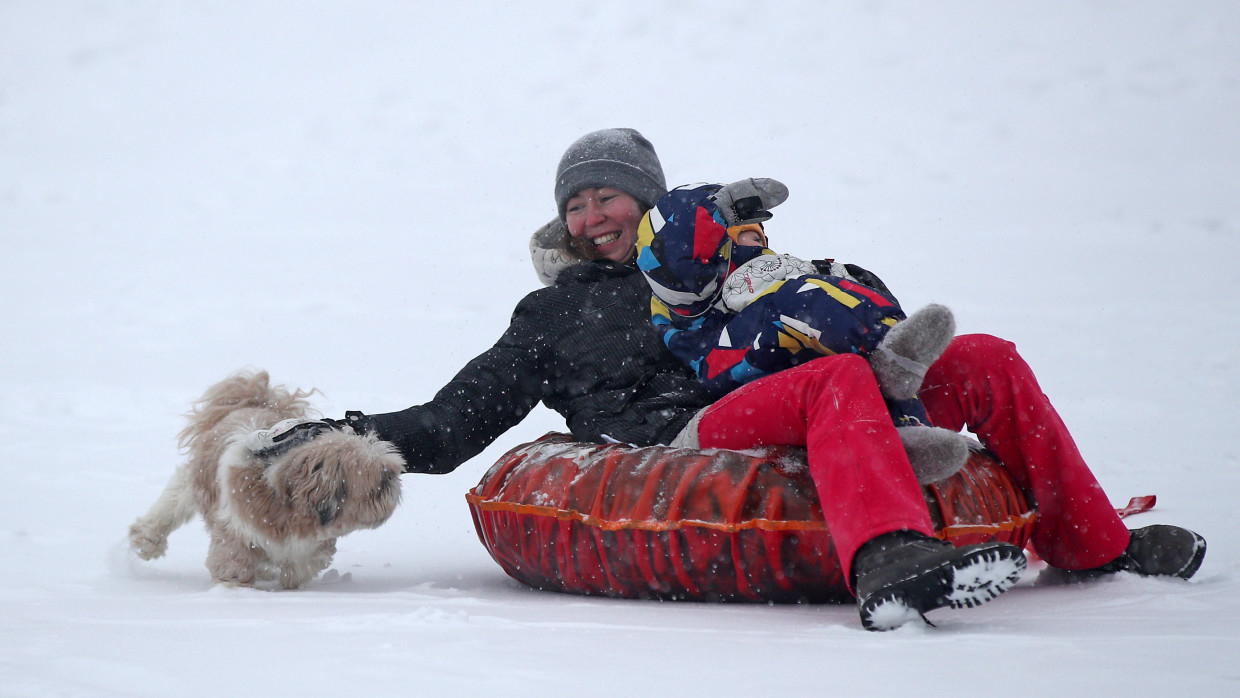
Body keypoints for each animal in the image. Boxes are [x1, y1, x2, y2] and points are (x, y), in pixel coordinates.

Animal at [128, 371, 404, 590]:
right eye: (382, 479)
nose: (396, 482)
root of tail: (254, 400)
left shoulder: (314, 543)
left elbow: (305, 562)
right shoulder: (235, 529)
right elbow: (233, 564)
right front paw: (236, 589)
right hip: (192, 482)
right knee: (170, 506)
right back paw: (146, 540)